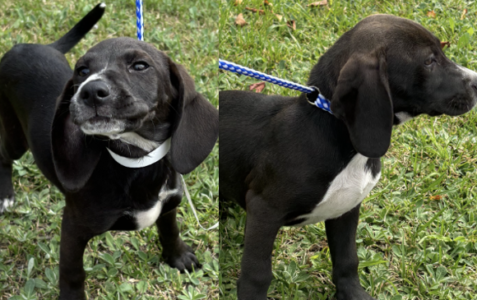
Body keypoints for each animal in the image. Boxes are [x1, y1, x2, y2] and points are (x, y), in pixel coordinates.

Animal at [0, 4, 218, 300]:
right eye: (82, 70)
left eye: (140, 66)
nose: (90, 91)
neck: (137, 161)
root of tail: (28, 47)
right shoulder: (73, 228)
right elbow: (72, 272)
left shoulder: (169, 205)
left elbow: (170, 230)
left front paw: (178, 257)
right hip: (14, 135)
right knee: (3, 156)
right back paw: (5, 196)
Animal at [218, 14, 476, 300]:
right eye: (429, 61)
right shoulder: (264, 210)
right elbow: (257, 274)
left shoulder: (347, 207)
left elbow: (347, 260)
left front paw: (353, 293)